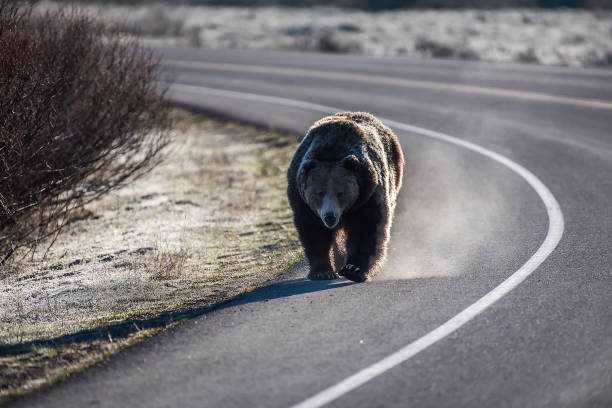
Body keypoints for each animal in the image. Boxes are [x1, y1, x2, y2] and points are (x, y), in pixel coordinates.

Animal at [288, 113, 404, 282]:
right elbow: (313, 232)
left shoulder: (367, 195)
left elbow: (367, 228)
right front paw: (322, 271)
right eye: (319, 193)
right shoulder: (303, 201)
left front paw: (353, 269)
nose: (329, 216)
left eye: (340, 193)